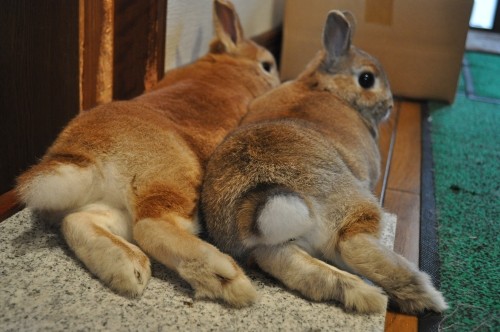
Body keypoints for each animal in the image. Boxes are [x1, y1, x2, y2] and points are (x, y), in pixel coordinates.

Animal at [15, 0, 280, 306]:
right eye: (267, 65)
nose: (278, 80)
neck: (232, 63)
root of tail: (85, 155)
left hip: (114, 207)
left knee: (78, 221)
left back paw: (127, 269)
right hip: (173, 178)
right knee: (151, 226)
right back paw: (225, 278)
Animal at [201, 9, 448, 312]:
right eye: (367, 79)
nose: (390, 105)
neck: (323, 86)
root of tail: (264, 197)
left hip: (272, 248)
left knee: (294, 266)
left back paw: (364, 295)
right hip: (352, 207)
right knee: (352, 245)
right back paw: (426, 298)